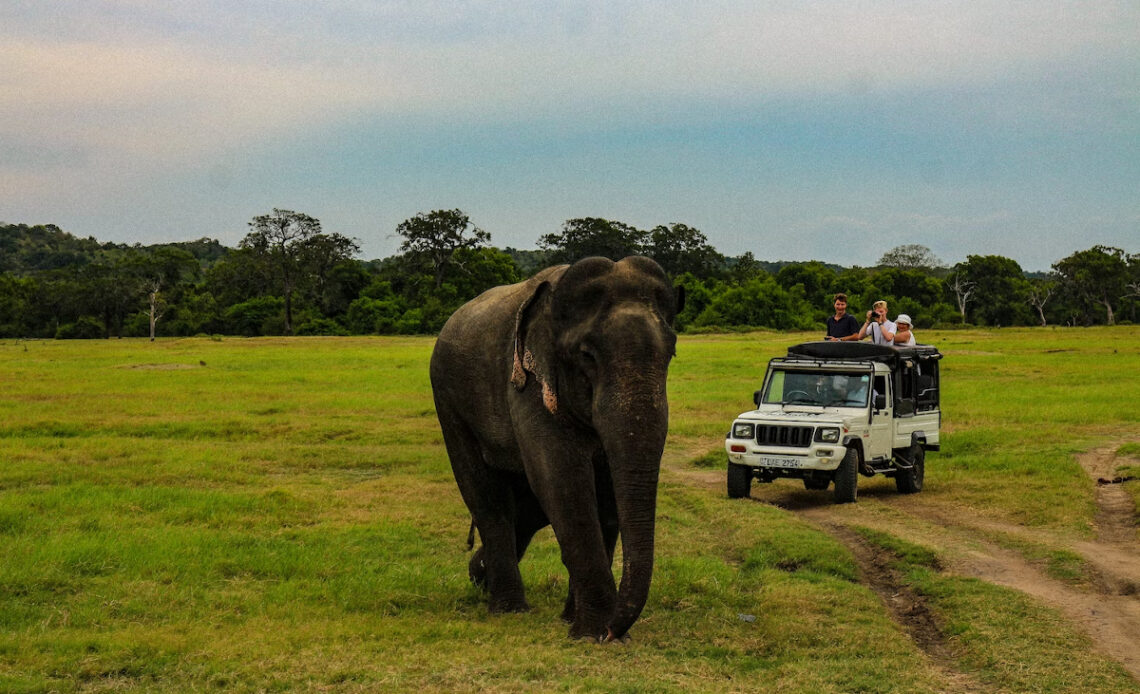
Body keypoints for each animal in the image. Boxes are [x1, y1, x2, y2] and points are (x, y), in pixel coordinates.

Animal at [428, 257, 674, 642]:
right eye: (587, 355)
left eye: (672, 353)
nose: (613, 631)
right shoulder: (529, 384)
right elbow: (561, 478)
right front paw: (591, 633)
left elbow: (605, 490)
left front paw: (580, 622)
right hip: (448, 402)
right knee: (487, 497)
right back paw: (508, 607)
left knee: (525, 509)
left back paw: (480, 576)